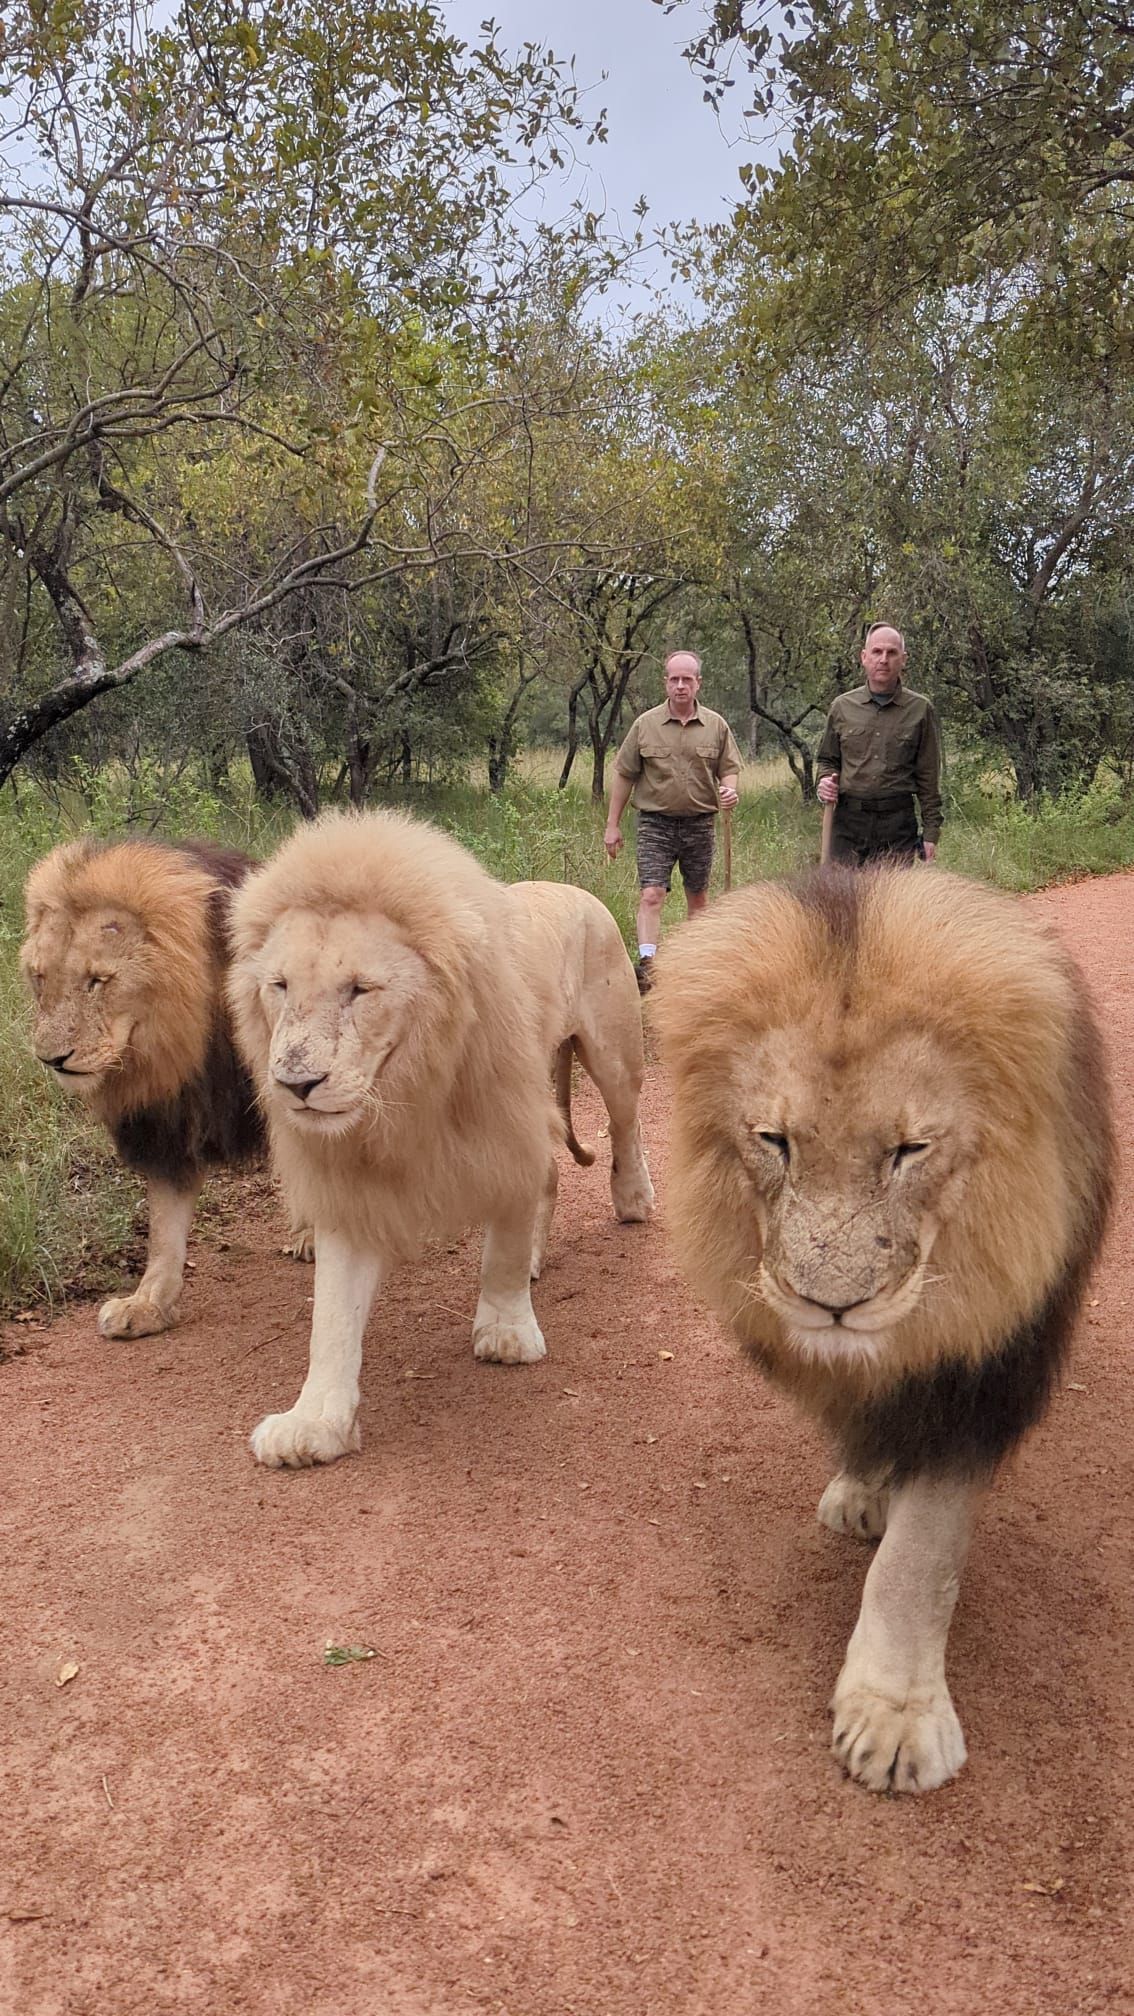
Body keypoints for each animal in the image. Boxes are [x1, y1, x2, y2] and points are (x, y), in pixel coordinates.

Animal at [20, 836, 312, 1341]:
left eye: (98, 980)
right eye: (40, 977)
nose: (51, 1059)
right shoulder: (168, 1121)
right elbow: (164, 1228)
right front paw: (148, 1305)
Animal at [227, 808, 655, 1470]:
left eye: (360, 989)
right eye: (280, 986)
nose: (296, 1083)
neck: (405, 1090)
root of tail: (581, 892)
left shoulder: (506, 1128)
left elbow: (502, 1248)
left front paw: (505, 1334)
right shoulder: (350, 1180)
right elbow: (333, 1317)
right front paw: (314, 1422)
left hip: (613, 1052)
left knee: (625, 1125)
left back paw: (634, 1201)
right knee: (554, 1176)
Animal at [650, 865, 1113, 1794]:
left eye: (910, 1149)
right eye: (775, 1140)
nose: (831, 1305)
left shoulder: (979, 1380)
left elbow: (919, 1557)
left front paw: (895, 1714)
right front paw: (862, 1489)